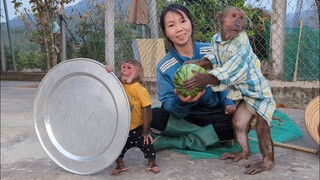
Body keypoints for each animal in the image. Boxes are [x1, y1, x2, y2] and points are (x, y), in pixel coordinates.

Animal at [184, 6, 276, 174]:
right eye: (234, 16)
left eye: (241, 17)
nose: (239, 21)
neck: (226, 38)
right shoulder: (215, 40)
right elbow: (210, 60)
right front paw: (193, 62)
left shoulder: (241, 42)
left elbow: (228, 71)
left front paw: (201, 79)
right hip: (246, 106)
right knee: (238, 122)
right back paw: (243, 153)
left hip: (264, 105)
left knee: (261, 126)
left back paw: (266, 163)